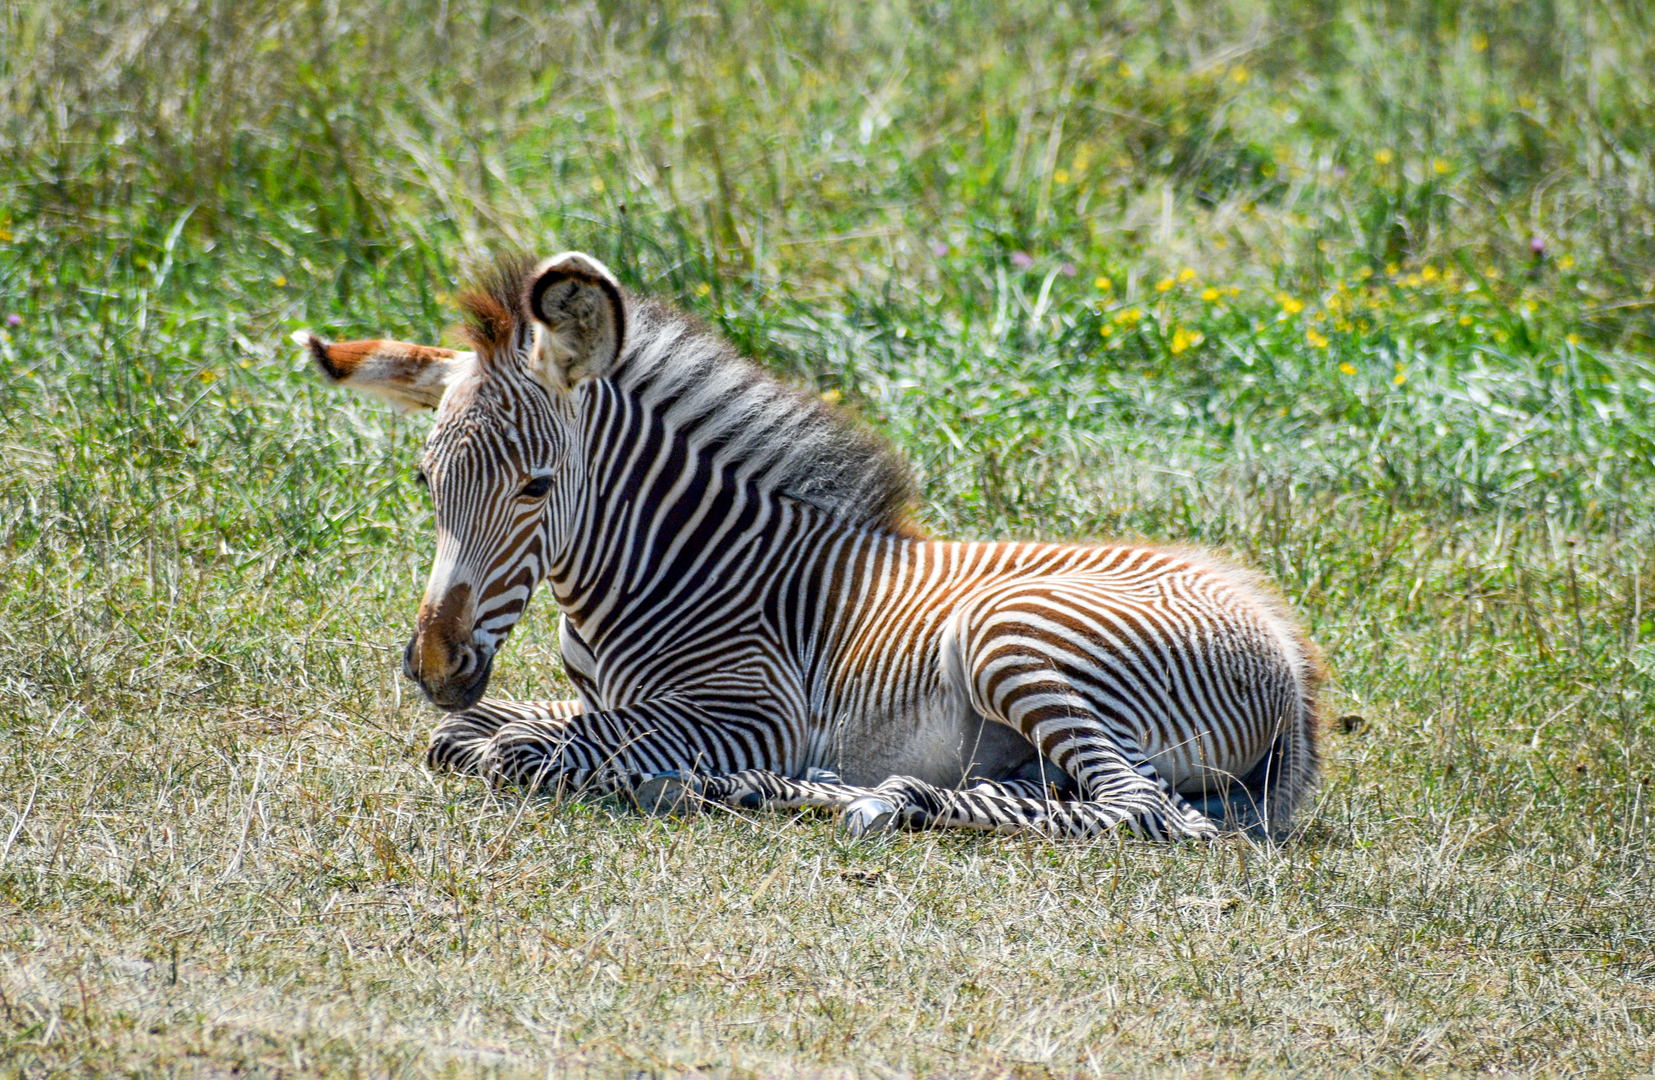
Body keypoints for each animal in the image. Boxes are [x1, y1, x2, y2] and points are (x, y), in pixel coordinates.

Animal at [295, 251, 1323, 841]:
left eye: (535, 488)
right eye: (424, 483)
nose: (434, 665)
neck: (672, 562)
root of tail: (1289, 655)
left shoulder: (752, 711)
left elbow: (515, 752)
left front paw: (653, 777)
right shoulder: (606, 701)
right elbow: (468, 737)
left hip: (1014, 632)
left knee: (1141, 811)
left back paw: (842, 798)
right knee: (1108, 800)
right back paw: (809, 794)